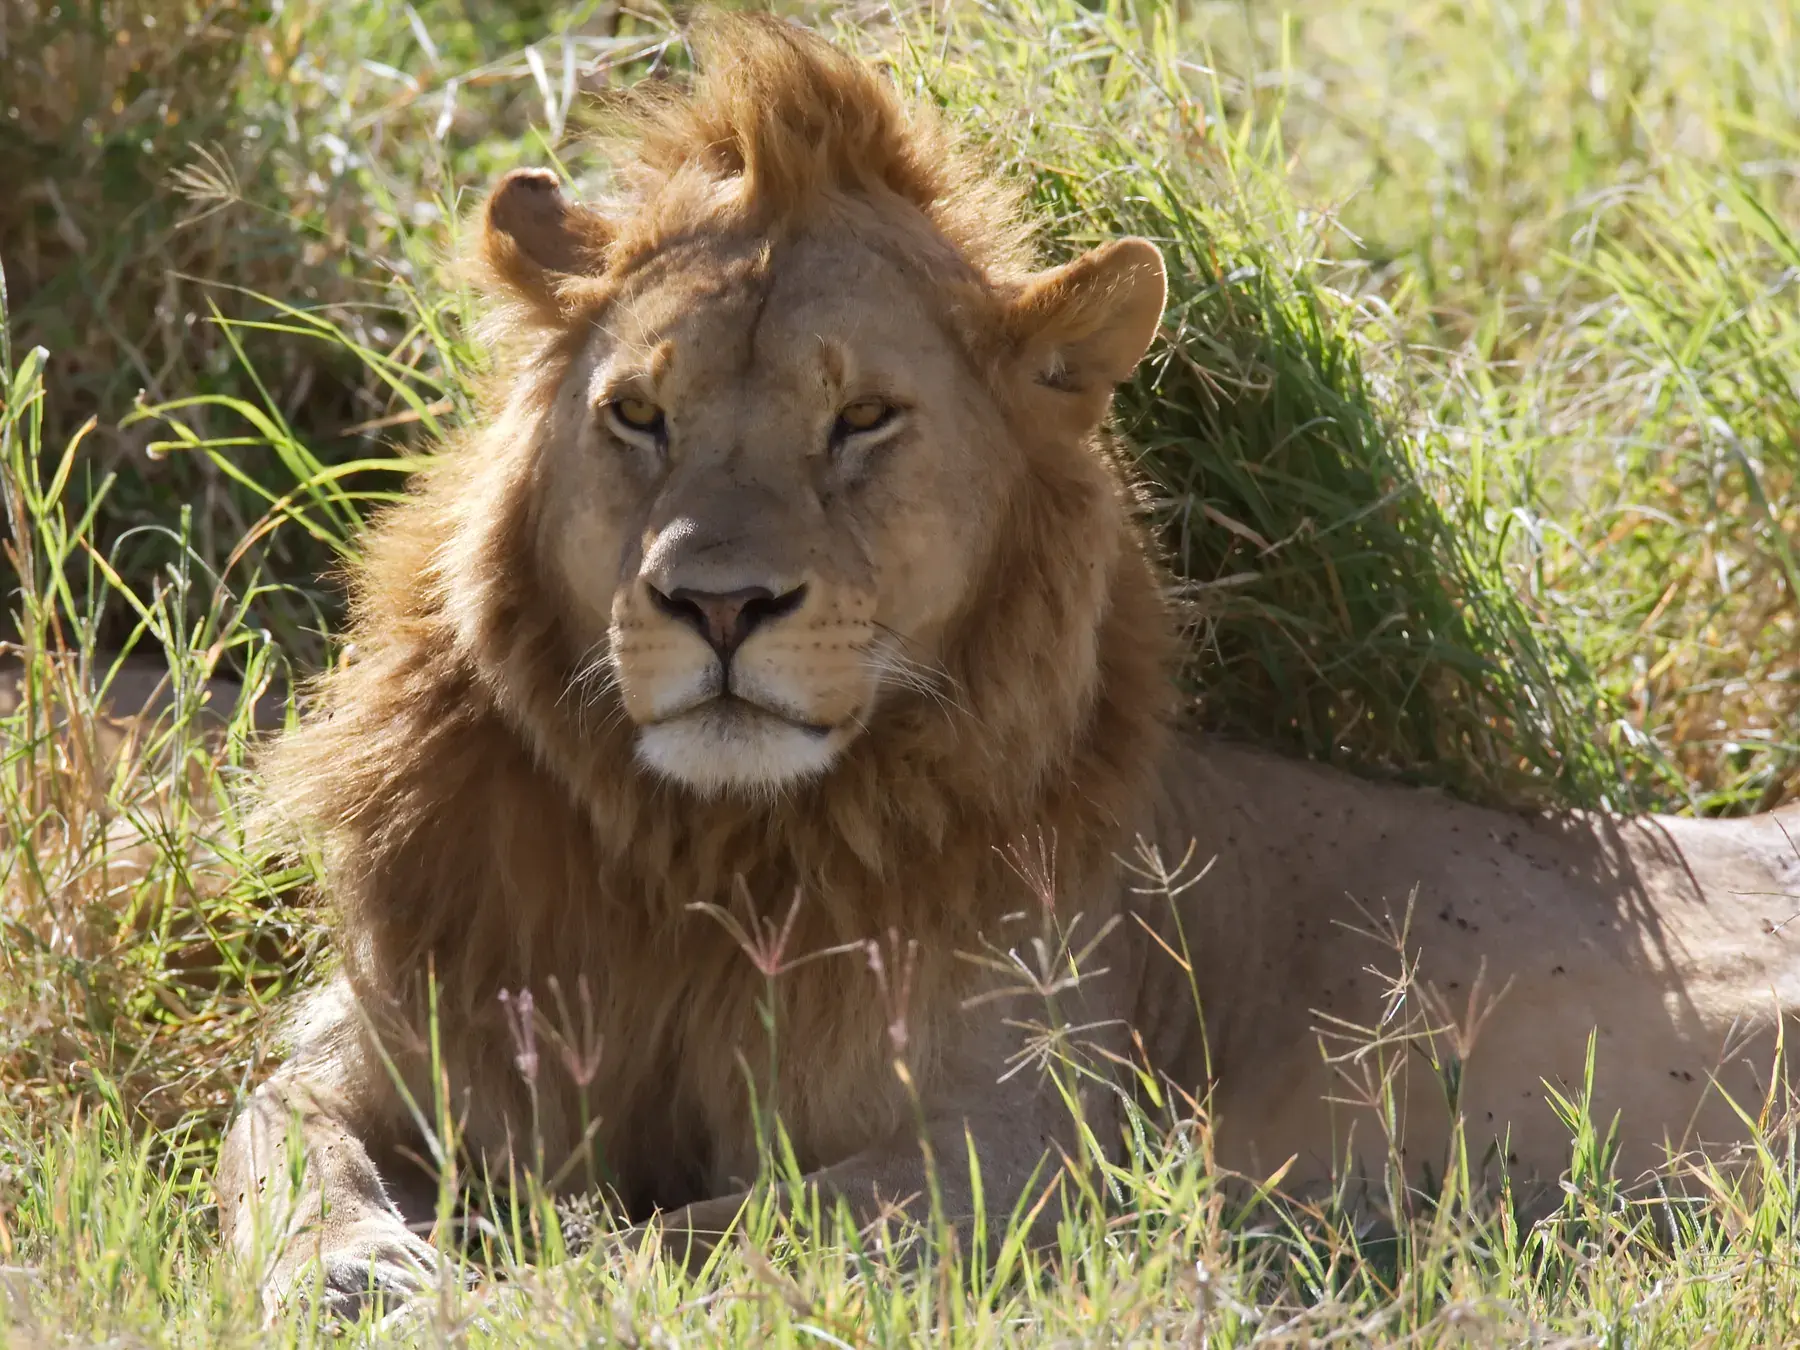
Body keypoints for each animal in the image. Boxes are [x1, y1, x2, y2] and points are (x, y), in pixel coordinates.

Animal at [216, 11, 1800, 1317]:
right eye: (638, 416)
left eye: (862, 418)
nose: (718, 605)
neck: (708, 856)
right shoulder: (381, 1037)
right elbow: (272, 1143)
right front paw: (359, 1272)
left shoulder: (1033, 1140)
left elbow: (705, 1234)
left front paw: (514, 1292)